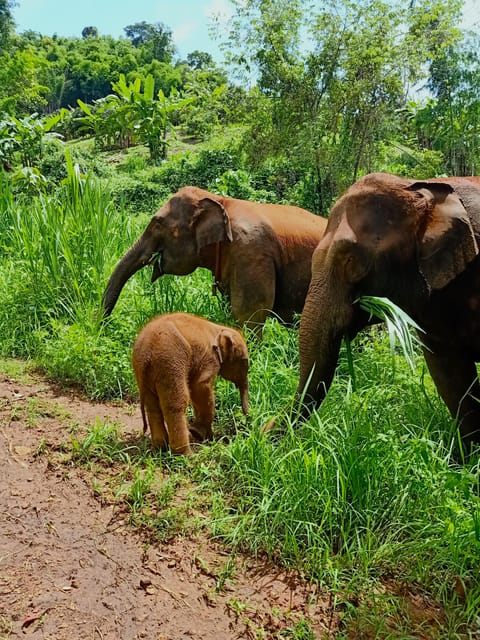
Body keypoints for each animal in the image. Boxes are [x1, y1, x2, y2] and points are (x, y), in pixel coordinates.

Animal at [132, 312, 249, 452]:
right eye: (244, 362)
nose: (248, 422)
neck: (219, 328)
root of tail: (146, 354)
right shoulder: (209, 358)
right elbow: (201, 387)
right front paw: (200, 434)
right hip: (170, 363)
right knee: (177, 403)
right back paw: (185, 453)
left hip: (143, 371)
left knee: (152, 405)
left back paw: (161, 448)